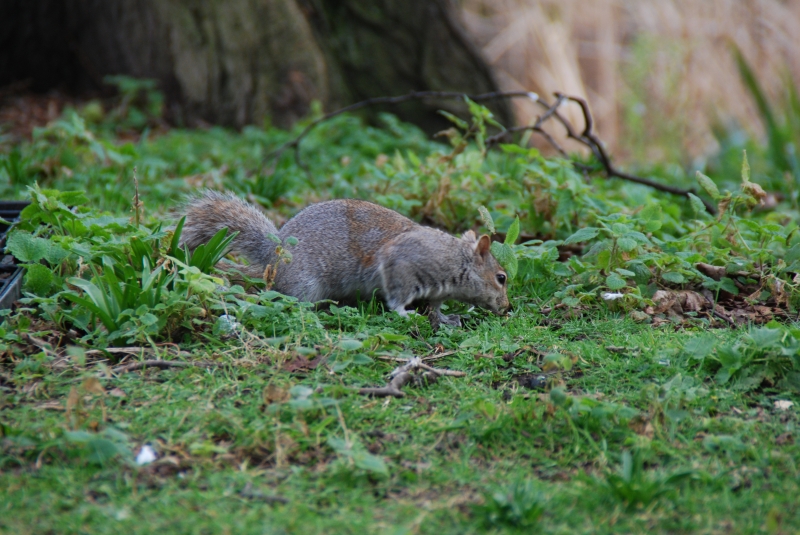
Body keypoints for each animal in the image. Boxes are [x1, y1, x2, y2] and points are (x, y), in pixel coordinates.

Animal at [179, 192, 510, 326]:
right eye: (501, 277)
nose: (507, 308)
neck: (455, 259)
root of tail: (275, 255)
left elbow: (437, 306)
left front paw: (445, 318)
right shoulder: (401, 264)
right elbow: (397, 297)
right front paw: (405, 314)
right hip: (304, 284)